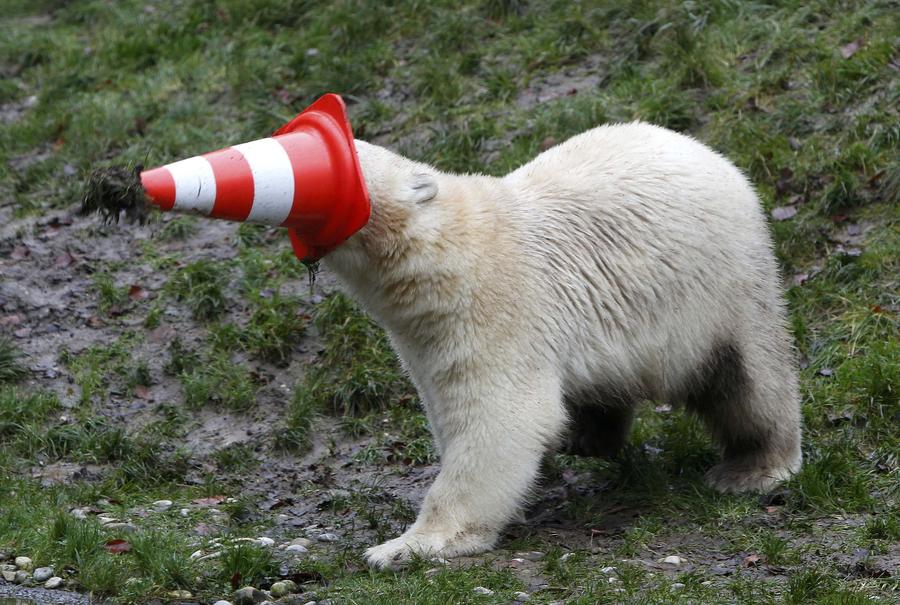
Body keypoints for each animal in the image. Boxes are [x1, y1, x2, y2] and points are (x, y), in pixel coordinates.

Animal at [320, 123, 802, 570]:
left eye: (354, 153)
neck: (446, 255)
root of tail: (713, 155)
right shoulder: (424, 340)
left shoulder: (498, 309)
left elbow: (502, 419)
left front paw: (404, 546)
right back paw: (587, 436)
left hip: (723, 283)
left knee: (749, 379)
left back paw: (751, 467)